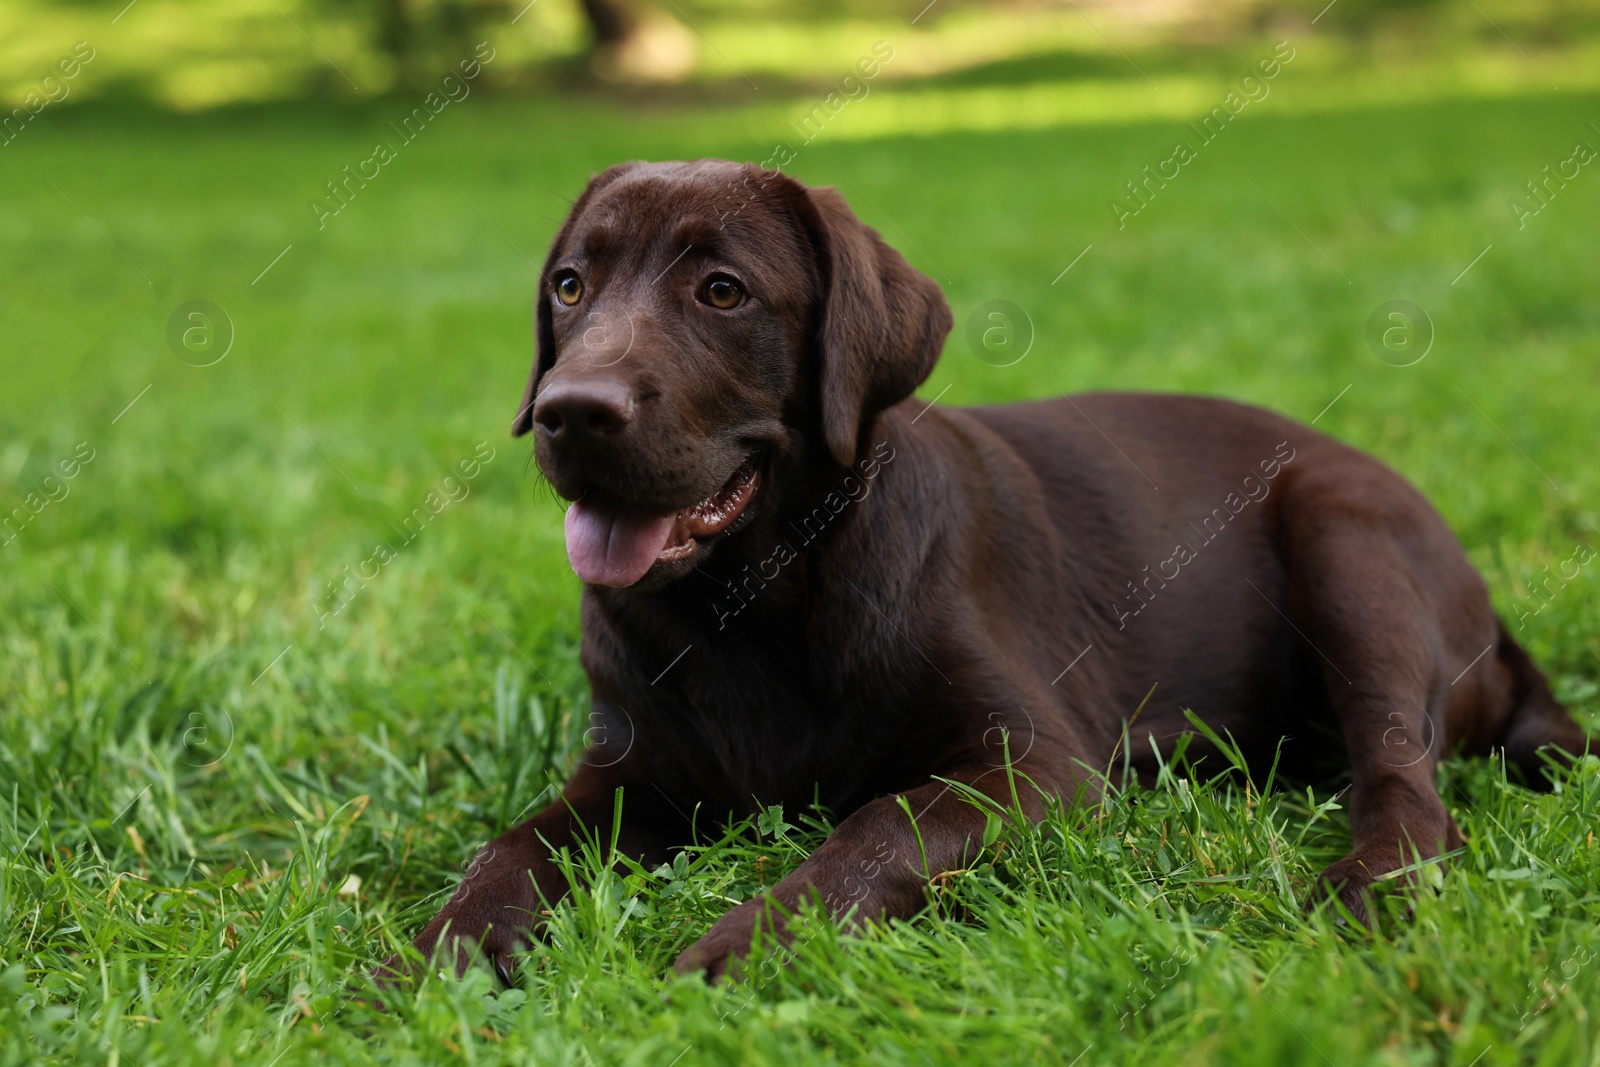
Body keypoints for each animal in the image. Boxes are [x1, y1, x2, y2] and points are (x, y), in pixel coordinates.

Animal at [380, 158, 1593, 985]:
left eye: (722, 292)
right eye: (570, 285)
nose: (568, 409)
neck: (754, 603)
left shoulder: (1034, 762)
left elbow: (876, 828)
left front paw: (751, 941)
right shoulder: (629, 769)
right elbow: (514, 841)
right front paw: (445, 946)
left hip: (1349, 542)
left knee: (1404, 775)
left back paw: (1367, 883)